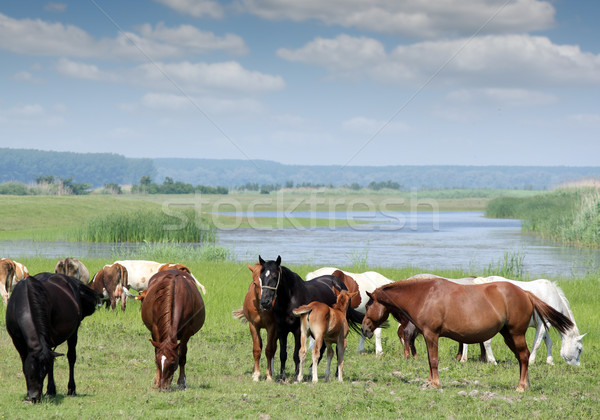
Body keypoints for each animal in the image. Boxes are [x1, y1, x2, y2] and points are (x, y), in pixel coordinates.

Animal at [5, 270, 101, 402]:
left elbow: (51, 364)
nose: (35, 396)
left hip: (73, 332)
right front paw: (28, 394)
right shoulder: (17, 340)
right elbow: (25, 362)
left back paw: (69, 389)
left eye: (43, 373)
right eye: (31, 371)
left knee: (71, 357)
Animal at [364, 278, 576, 392]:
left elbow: (433, 360)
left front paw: (435, 384)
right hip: (508, 335)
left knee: (524, 357)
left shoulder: (431, 335)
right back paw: (526, 384)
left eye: (368, 305)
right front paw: (429, 382)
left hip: (516, 334)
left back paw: (521, 386)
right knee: (521, 358)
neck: (424, 295)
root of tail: (525, 293)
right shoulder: (427, 336)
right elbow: (430, 361)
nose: (365, 328)